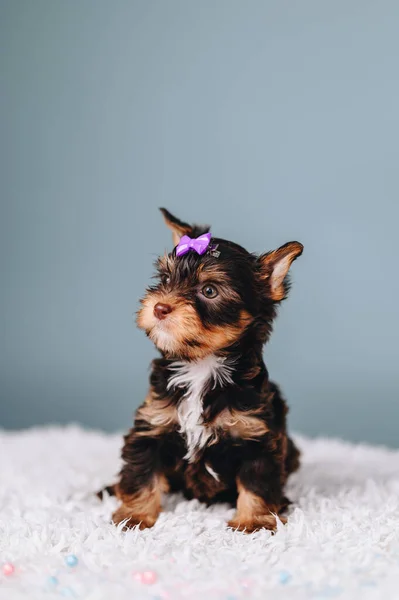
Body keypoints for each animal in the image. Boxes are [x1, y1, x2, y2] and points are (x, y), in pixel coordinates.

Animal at [105, 209, 304, 532]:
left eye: (209, 290)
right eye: (165, 279)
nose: (159, 308)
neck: (201, 364)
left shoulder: (257, 435)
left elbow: (258, 481)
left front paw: (254, 521)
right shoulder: (152, 424)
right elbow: (142, 473)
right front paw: (134, 516)